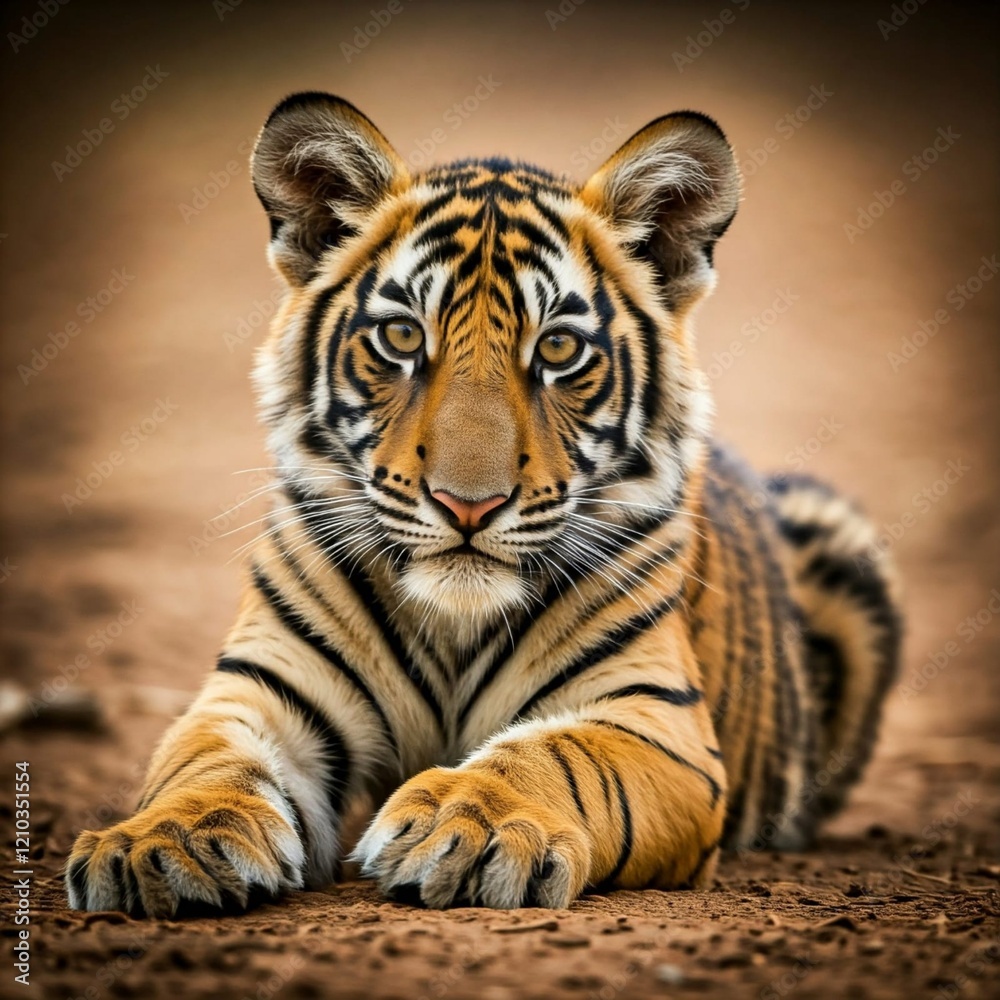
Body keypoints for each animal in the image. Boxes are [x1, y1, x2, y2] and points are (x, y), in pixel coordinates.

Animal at [66, 93, 902, 917]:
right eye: (403, 337)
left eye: (559, 350)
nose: (467, 505)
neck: (452, 626)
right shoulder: (258, 691)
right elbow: (202, 762)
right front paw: (161, 843)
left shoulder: (654, 722)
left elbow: (561, 753)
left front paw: (473, 825)